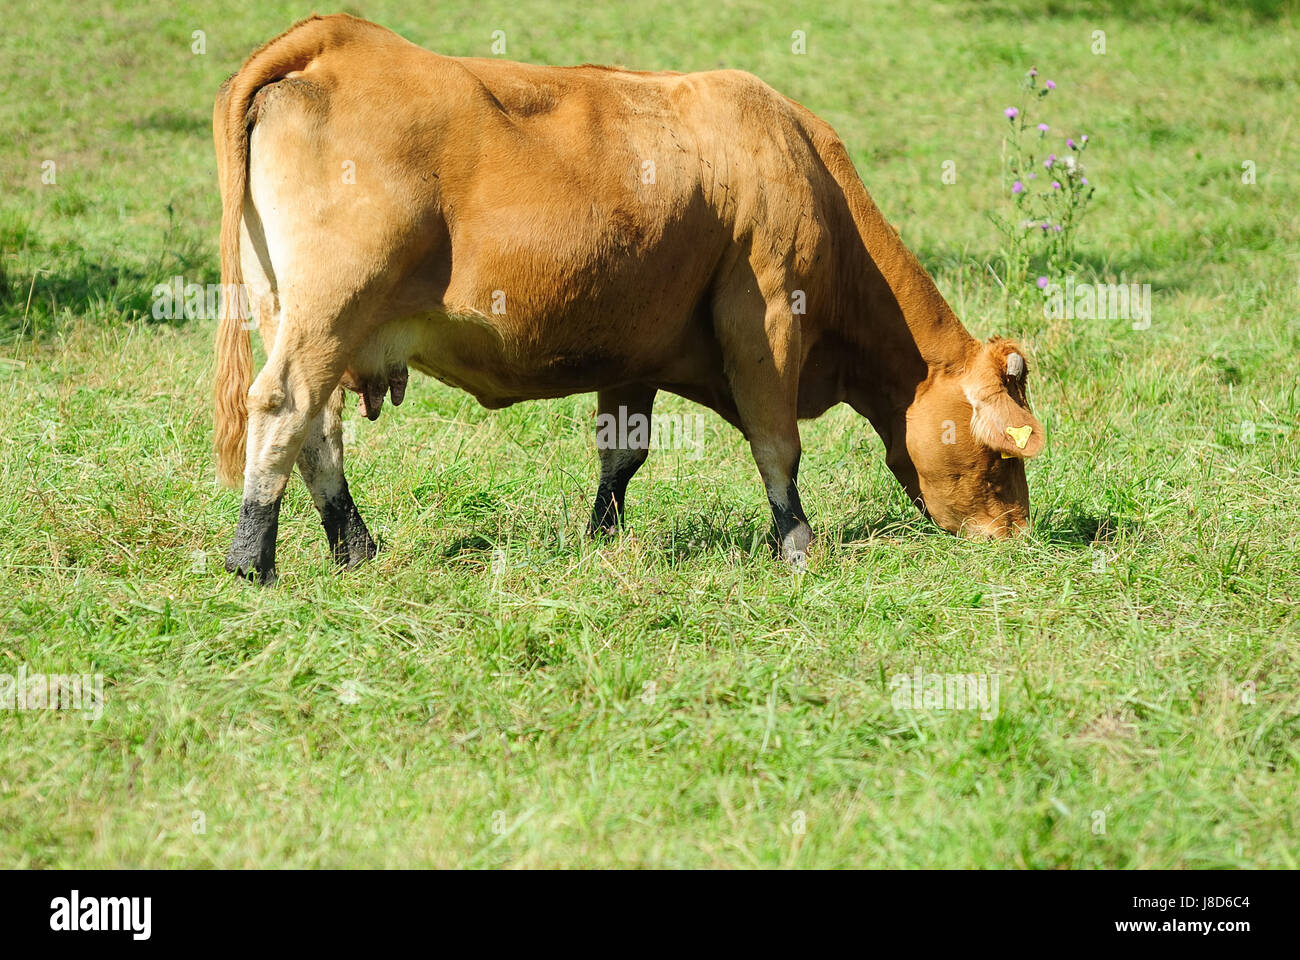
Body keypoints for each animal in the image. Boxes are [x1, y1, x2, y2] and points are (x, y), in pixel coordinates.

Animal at [212, 14, 1046, 583]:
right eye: (1004, 453)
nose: (1017, 532)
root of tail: (340, 38)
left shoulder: (635, 349)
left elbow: (623, 452)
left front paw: (604, 537)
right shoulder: (768, 316)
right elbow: (776, 442)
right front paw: (796, 543)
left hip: (301, 315)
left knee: (318, 431)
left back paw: (353, 546)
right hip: (331, 309)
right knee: (284, 405)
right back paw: (252, 557)